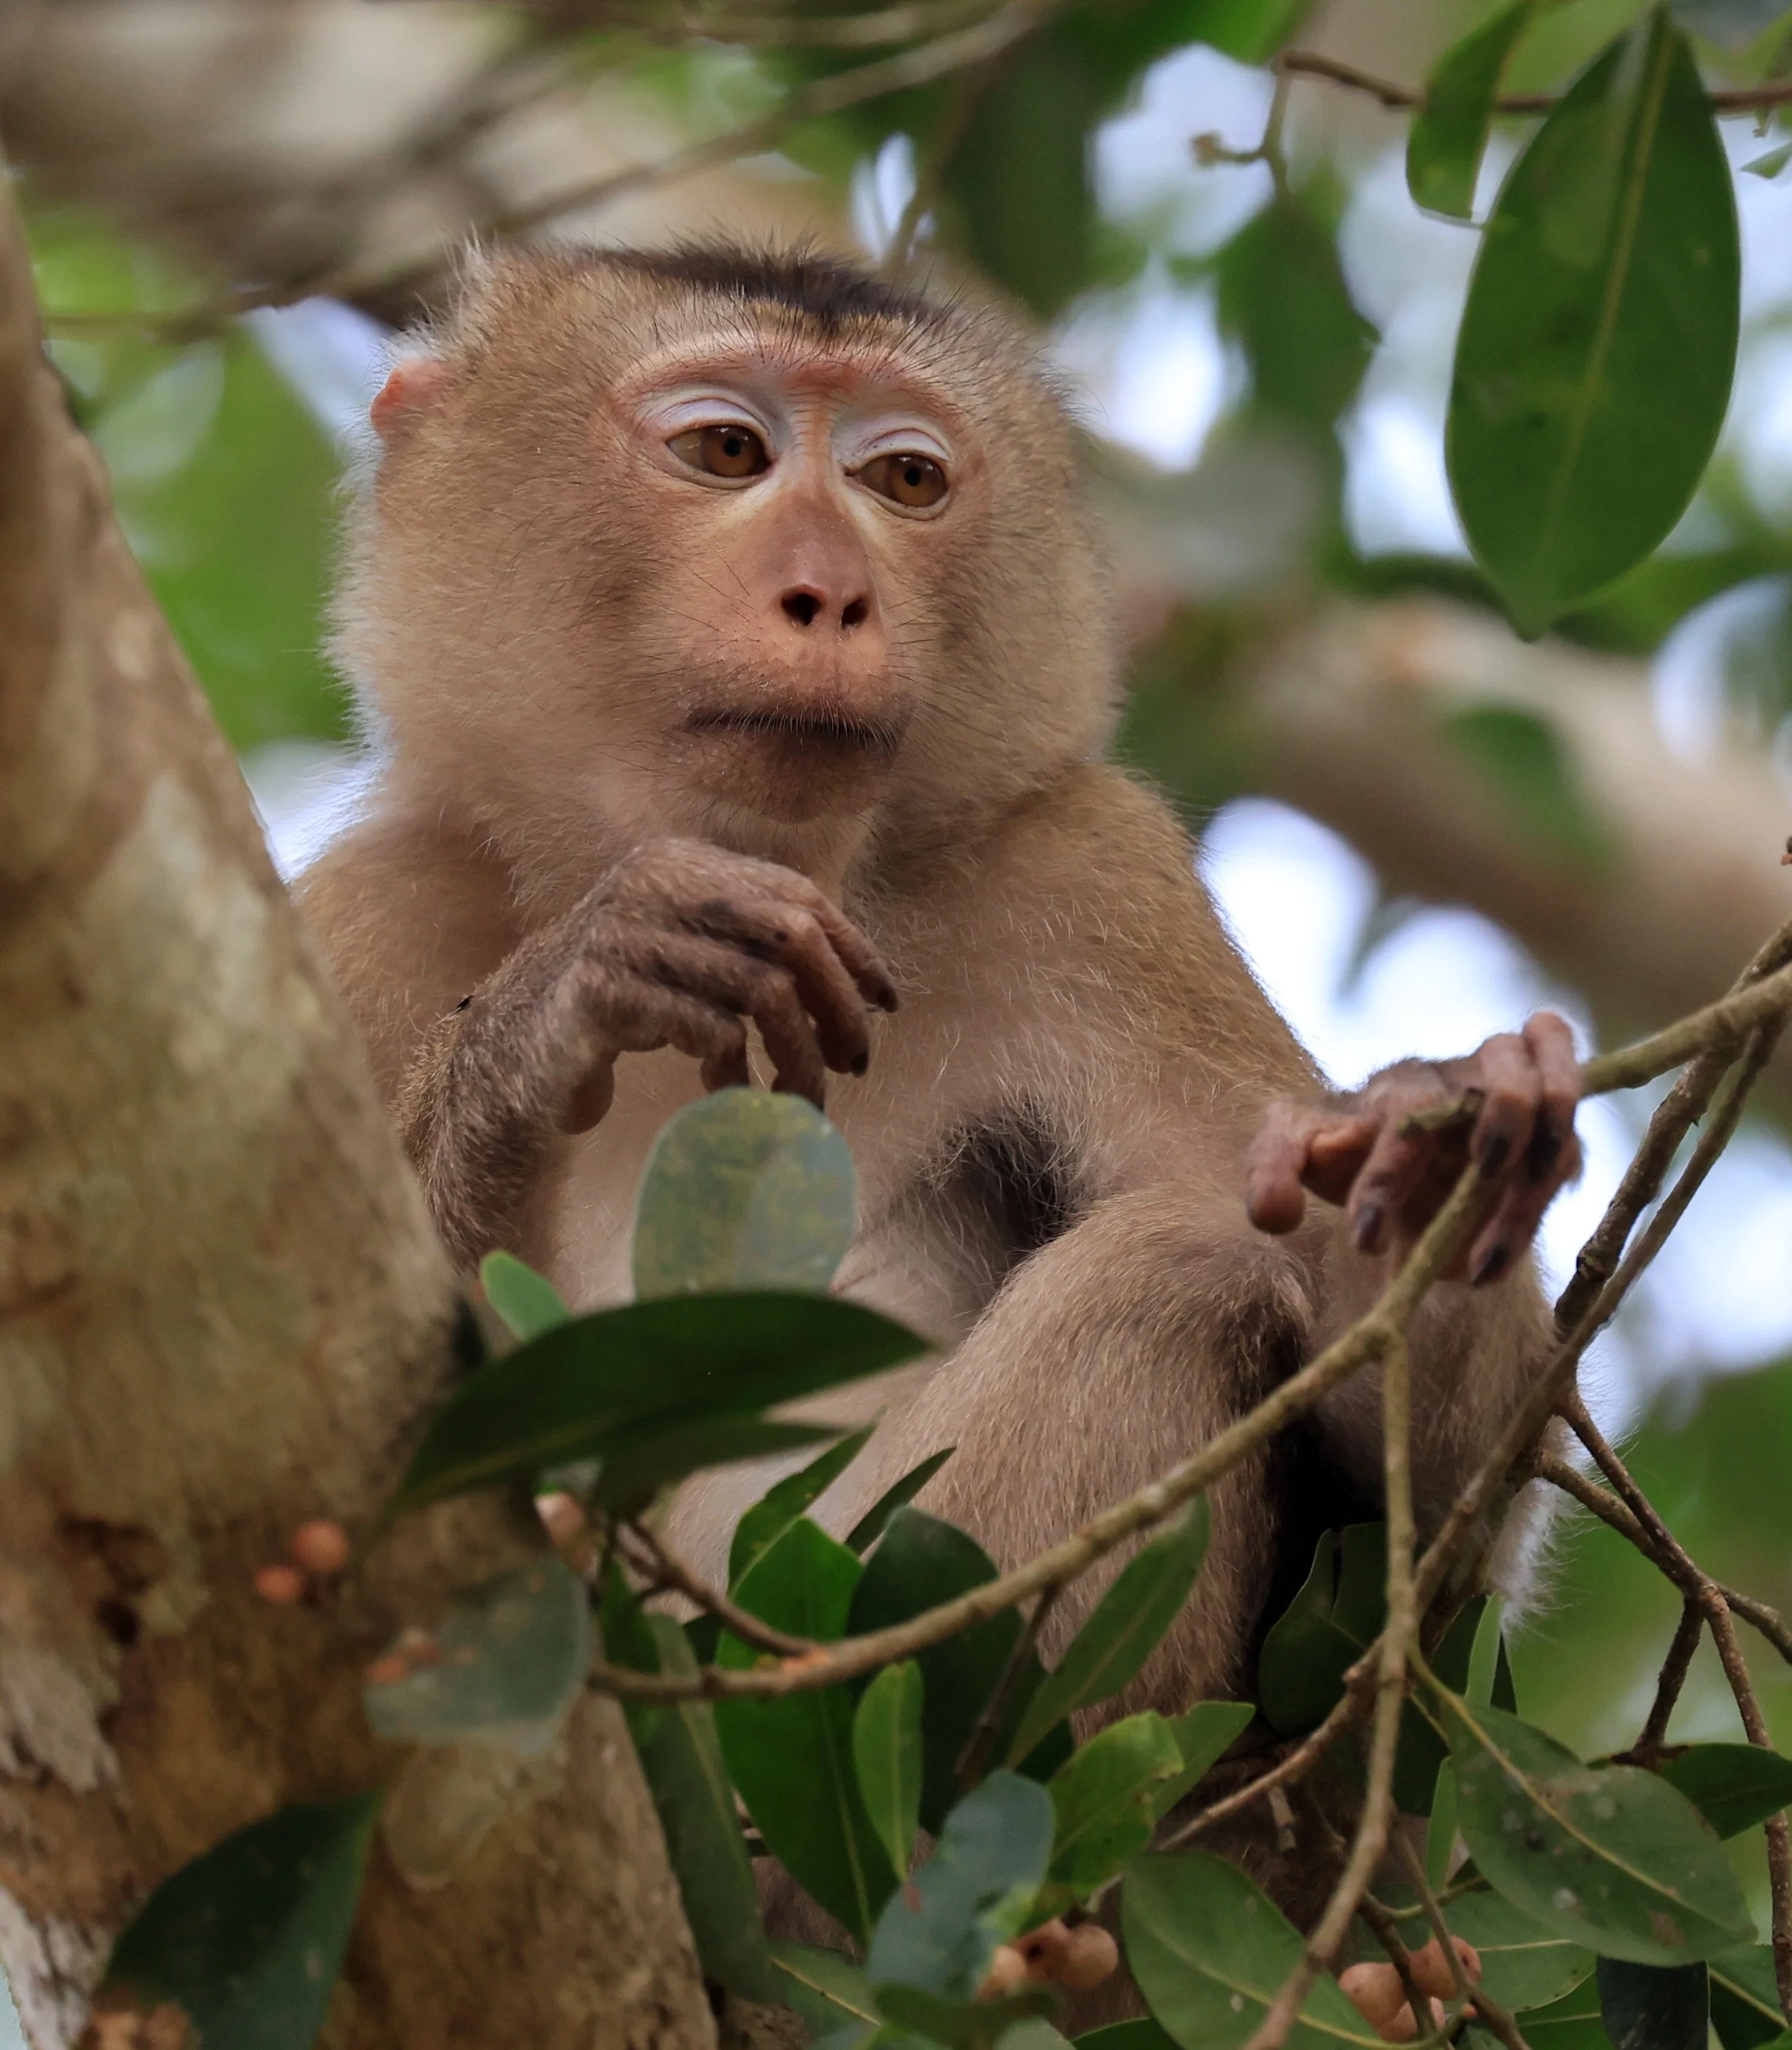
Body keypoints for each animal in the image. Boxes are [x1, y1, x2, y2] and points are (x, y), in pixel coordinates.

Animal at [295, 240, 1580, 1921]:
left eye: (903, 480)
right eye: (726, 451)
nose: (833, 593)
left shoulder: (1086, 876)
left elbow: (1393, 1586)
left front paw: (1436, 1168)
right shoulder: (368, 919)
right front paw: (562, 1000)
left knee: (1180, 1268)